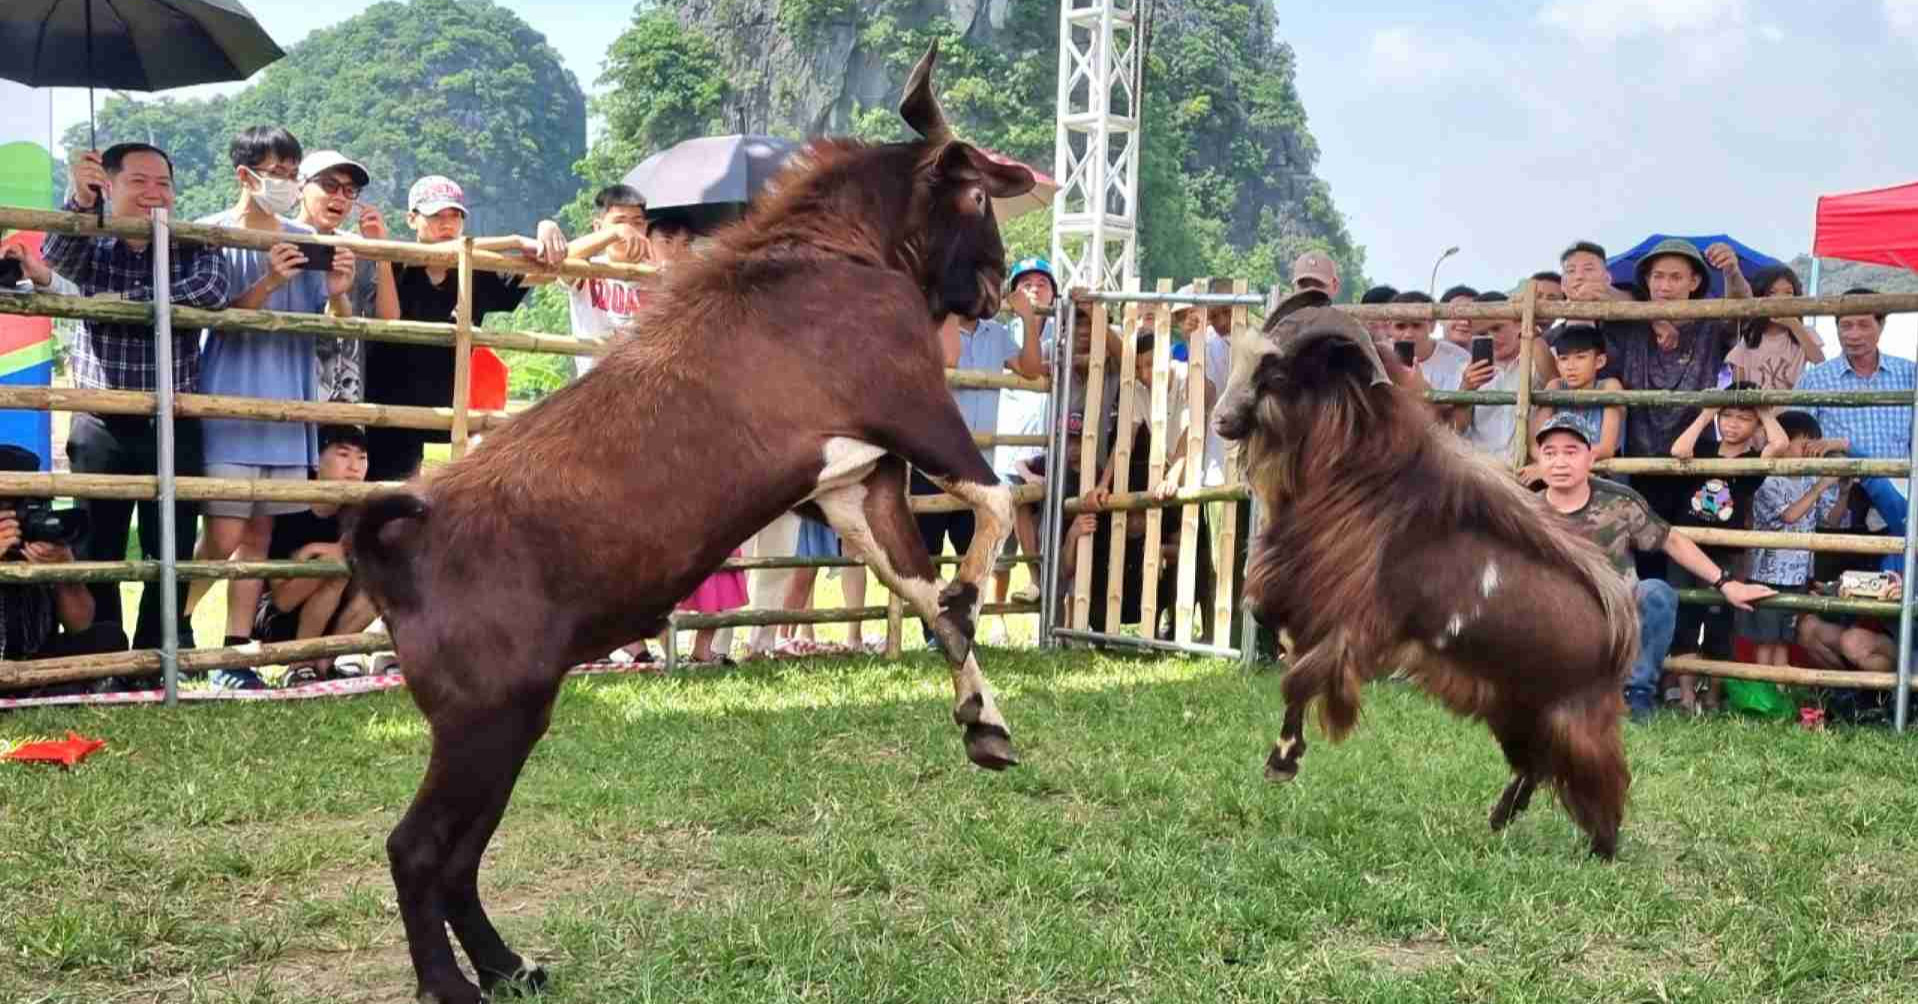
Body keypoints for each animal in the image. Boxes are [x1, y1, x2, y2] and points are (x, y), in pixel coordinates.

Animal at [356, 47, 1051, 1004]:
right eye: (979, 194)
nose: (992, 285)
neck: (830, 251)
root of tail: (402, 543)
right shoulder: (914, 409)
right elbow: (991, 504)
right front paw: (973, 596)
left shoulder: (856, 481)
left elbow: (918, 587)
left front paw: (983, 718)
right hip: (483, 721)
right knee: (417, 849)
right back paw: (453, 983)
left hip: (508, 718)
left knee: (459, 855)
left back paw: (507, 965)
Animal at [1219, 289, 1641, 856]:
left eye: (1278, 373)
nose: (1222, 421)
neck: (1354, 477)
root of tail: (1618, 640)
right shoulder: (1299, 609)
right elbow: (1287, 656)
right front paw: (1284, 758)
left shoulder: (1355, 625)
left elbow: (1298, 680)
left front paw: (1281, 761)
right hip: (1515, 707)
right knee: (1534, 764)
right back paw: (1502, 816)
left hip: (1576, 719)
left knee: (1602, 782)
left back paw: (1600, 849)